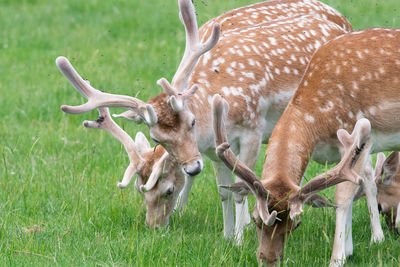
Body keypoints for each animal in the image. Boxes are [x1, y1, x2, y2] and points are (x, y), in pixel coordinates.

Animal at [57, 0, 352, 243]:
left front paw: (240, 239)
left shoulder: (252, 129)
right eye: (156, 137)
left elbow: (242, 189)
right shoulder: (213, 149)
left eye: (191, 122)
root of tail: (342, 21)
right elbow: (224, 190)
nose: (153, 226)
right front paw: (227, 235)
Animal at [212, 28, 400, 266]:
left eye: (296, 225)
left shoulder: (356, 133)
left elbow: (342, 197)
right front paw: (349, 250)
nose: (269, 260)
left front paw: (337, 258)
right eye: (255, 220)